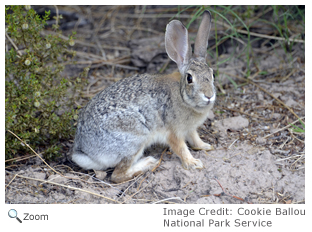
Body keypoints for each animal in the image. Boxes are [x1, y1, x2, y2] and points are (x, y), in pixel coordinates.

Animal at [72, 10, 216, 183]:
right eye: (189, 78)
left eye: (212, 74)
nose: (209, 96)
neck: (183, 97)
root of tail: (85, 152)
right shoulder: (173, 132)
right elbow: (181, 148)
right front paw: (193, 163)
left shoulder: (190, 129)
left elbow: (195, 138)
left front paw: (205, 146)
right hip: (135, 139)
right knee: (117, 175)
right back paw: (147, 163)